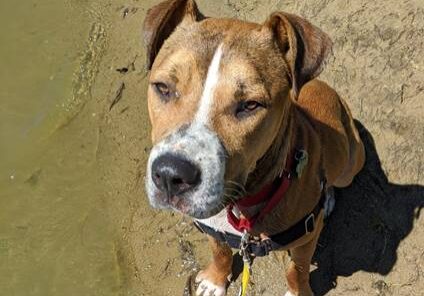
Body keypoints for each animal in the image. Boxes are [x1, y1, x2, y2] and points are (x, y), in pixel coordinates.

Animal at [142, 1, 364, 294]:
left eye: (250, 105)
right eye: (163, 87)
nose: (169, 174)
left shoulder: (305, 240)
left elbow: (297, 271)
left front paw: (298, 290)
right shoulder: (211, 227)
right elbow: (220, 251)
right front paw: (215, 280)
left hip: (351, 164)